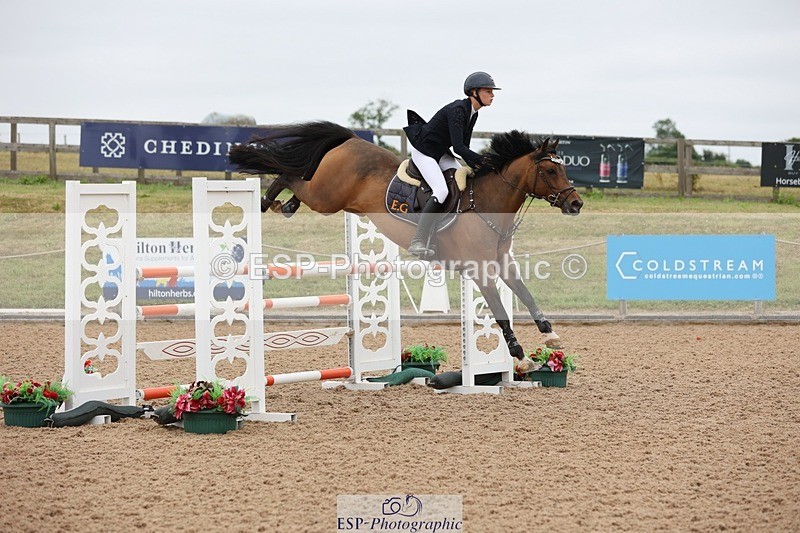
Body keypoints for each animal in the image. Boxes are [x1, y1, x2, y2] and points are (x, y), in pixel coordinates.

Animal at [228, 121, 583, 365]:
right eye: (551, 170)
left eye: (565, 167)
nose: (576, 204)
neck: (486, 202)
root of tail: (351, 139)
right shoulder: (481, 270)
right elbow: (500, 312)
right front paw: (519, 355)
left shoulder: (503, 264)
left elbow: (525, 293)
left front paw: (551, 336)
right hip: (325, 196)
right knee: (292, 174)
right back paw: (270, 201)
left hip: (328, 196)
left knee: (298, 177)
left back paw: (286, 205)